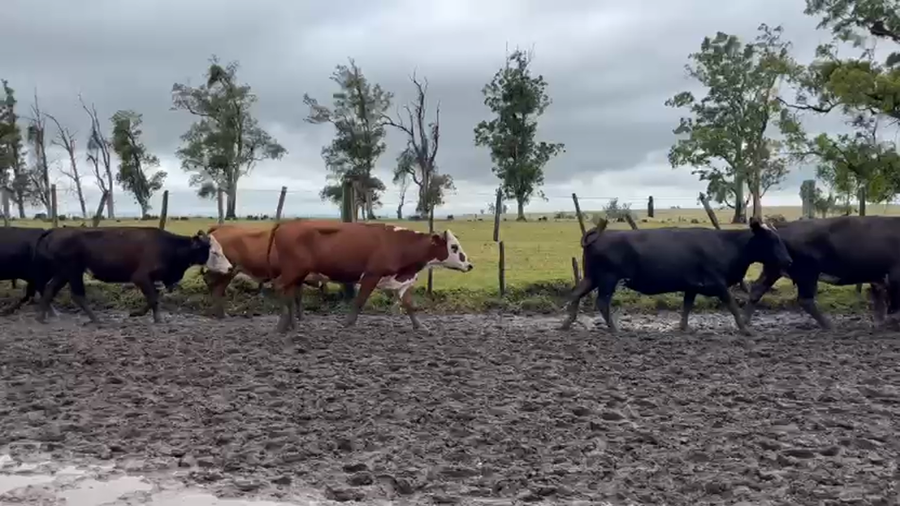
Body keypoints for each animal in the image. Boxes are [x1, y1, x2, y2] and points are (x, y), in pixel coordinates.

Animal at [34, 227, 232, 324]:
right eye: (214, 252)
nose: (230, 268)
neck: (169, 247)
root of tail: (55, 231)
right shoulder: (140, 277)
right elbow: (153, 298)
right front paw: (146, 316)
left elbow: (154, 298)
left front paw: (145, 315)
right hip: (72, 270)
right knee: (77, 295)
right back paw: (96, 320)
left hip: (64, 272)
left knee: (50, 289)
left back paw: (42, 318)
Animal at [202, 223, 330, 319]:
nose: (326, 293)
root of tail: (221, 228)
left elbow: (297, 297)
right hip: (227, 272)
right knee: (217, 289)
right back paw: (222, 314)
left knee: (211, 283)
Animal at [265, 220, 474, 334]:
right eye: (454, 247)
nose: (469, 265)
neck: (399, 243)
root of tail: (285, 225)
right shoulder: (371, 275)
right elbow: (359, 301)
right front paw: (347, 324)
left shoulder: (401, 281)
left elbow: (408, 305)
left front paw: (420, 326)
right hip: (293, 271)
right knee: (278, 286)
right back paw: (281, 325)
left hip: (297, 274)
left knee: (290, 294)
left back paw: (291, 325)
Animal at [560, 218, 793, 335]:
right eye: (771, 239)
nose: (789, 260)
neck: (727, 244)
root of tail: (600, 235)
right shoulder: (718, 283)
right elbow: (733, 305)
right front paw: (746, 330)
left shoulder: (692, 285)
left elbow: (687, 306)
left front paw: (683, 328)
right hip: (608, 279)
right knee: (601, 302)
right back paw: (616, 330)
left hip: (592, 277)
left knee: (576, 294)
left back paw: (566, 324)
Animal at [743, 215, 900, 329]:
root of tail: (784, 226)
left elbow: (880, 299)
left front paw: (880, 322)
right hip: (807, 273)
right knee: (805, 300)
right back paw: (829, 325)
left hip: (774, 269)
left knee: (757, 289)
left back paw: (746, 322)